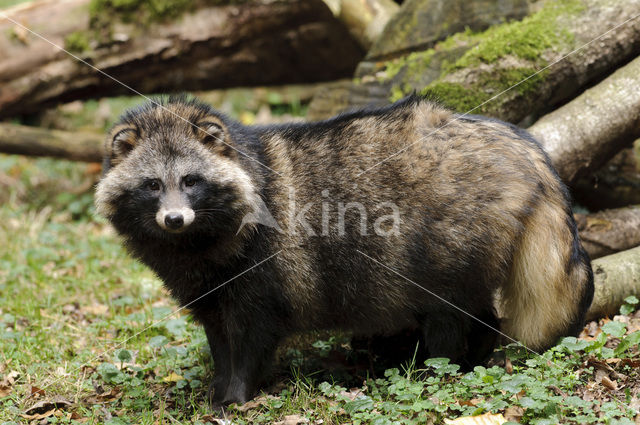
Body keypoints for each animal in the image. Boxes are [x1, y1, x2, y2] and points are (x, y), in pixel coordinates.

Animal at [95, 95, 596, 408]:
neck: (195, 243)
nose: (174, 219)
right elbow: (219, 339)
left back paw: (442, 364)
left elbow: (253, 337)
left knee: (455, 314)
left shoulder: (264, 274)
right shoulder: (209, 288)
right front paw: (218, 388)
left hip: (448, 249)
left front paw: (237, 394)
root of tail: (522, 145)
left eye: (191, 181)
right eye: (152, 185)